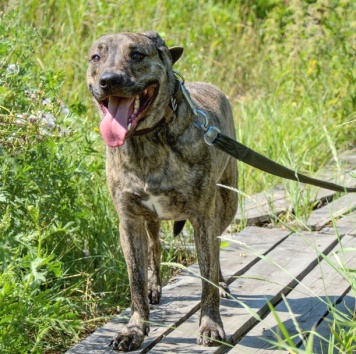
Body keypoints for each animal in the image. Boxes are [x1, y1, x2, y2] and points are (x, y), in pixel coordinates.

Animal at [86, 30, 238, 352]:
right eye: (96, 57)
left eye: (137, 55)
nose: (109, 80)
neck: (146, 140)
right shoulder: (129, 220)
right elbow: (136, 280)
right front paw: (134, 329)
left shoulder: (203, 218)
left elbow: (206, 276)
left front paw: (210, 324)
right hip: (150, 219)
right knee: (155, 246)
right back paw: (155, 285)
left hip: (227, 203)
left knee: (217, 246)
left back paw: (221, 280)